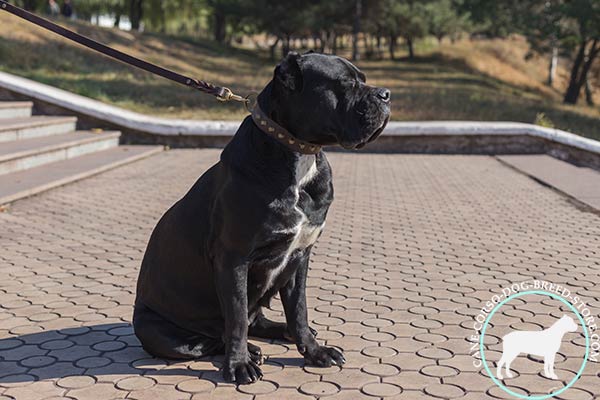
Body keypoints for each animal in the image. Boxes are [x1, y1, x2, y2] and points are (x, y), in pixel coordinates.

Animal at [132, 50, 390, 384]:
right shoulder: (234, 260)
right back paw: (249, 351)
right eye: (346, 83)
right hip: (160, 332)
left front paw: (314, 351)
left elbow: (299, 310)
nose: (386, 94)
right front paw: (239, 364)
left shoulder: (300, 257)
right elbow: (237, 318)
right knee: (213, 337)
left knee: (256, 321)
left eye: (364, 80)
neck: (299, 155)